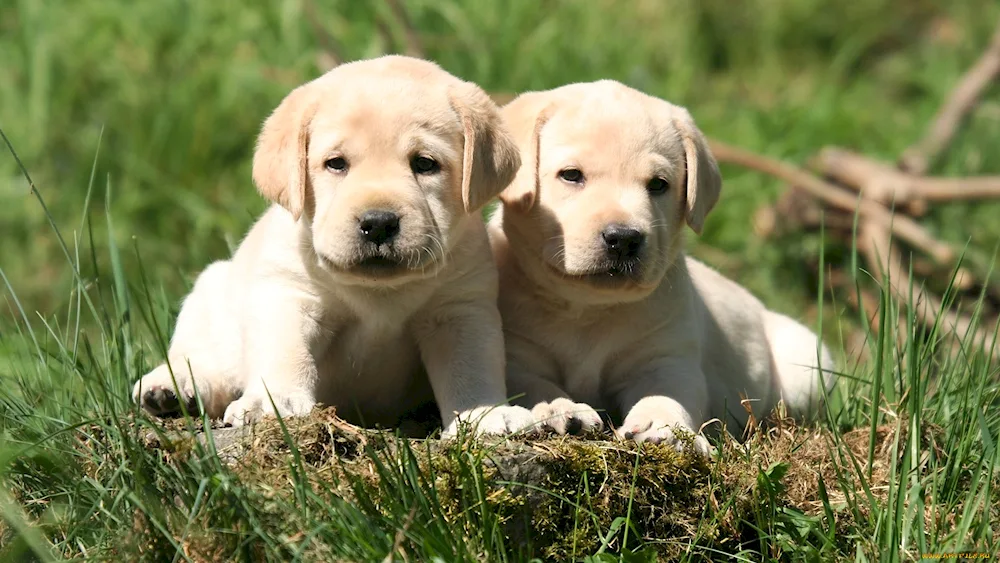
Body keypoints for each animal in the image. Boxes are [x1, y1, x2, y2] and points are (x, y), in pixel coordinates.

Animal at [136, 56, 540, 436]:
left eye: (425, 164)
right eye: (336, 164)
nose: (379, 223)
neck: (378, 293)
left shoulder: (460, 308)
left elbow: (471, 368)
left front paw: (485, 413)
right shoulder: (289, 294)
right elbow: (285, 351)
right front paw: (273, 403)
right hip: (212, 293)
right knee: (205, 361)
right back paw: (170, 387)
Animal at [488, 81, 832, 456]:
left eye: (658, 184)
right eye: (571, 175)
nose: (624, 239)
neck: (588, 308)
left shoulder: (666, 359)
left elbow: (666, 396)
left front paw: (664, 428)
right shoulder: (517, 354)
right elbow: (534, 384)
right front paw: (559, 409)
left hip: (807, 365)